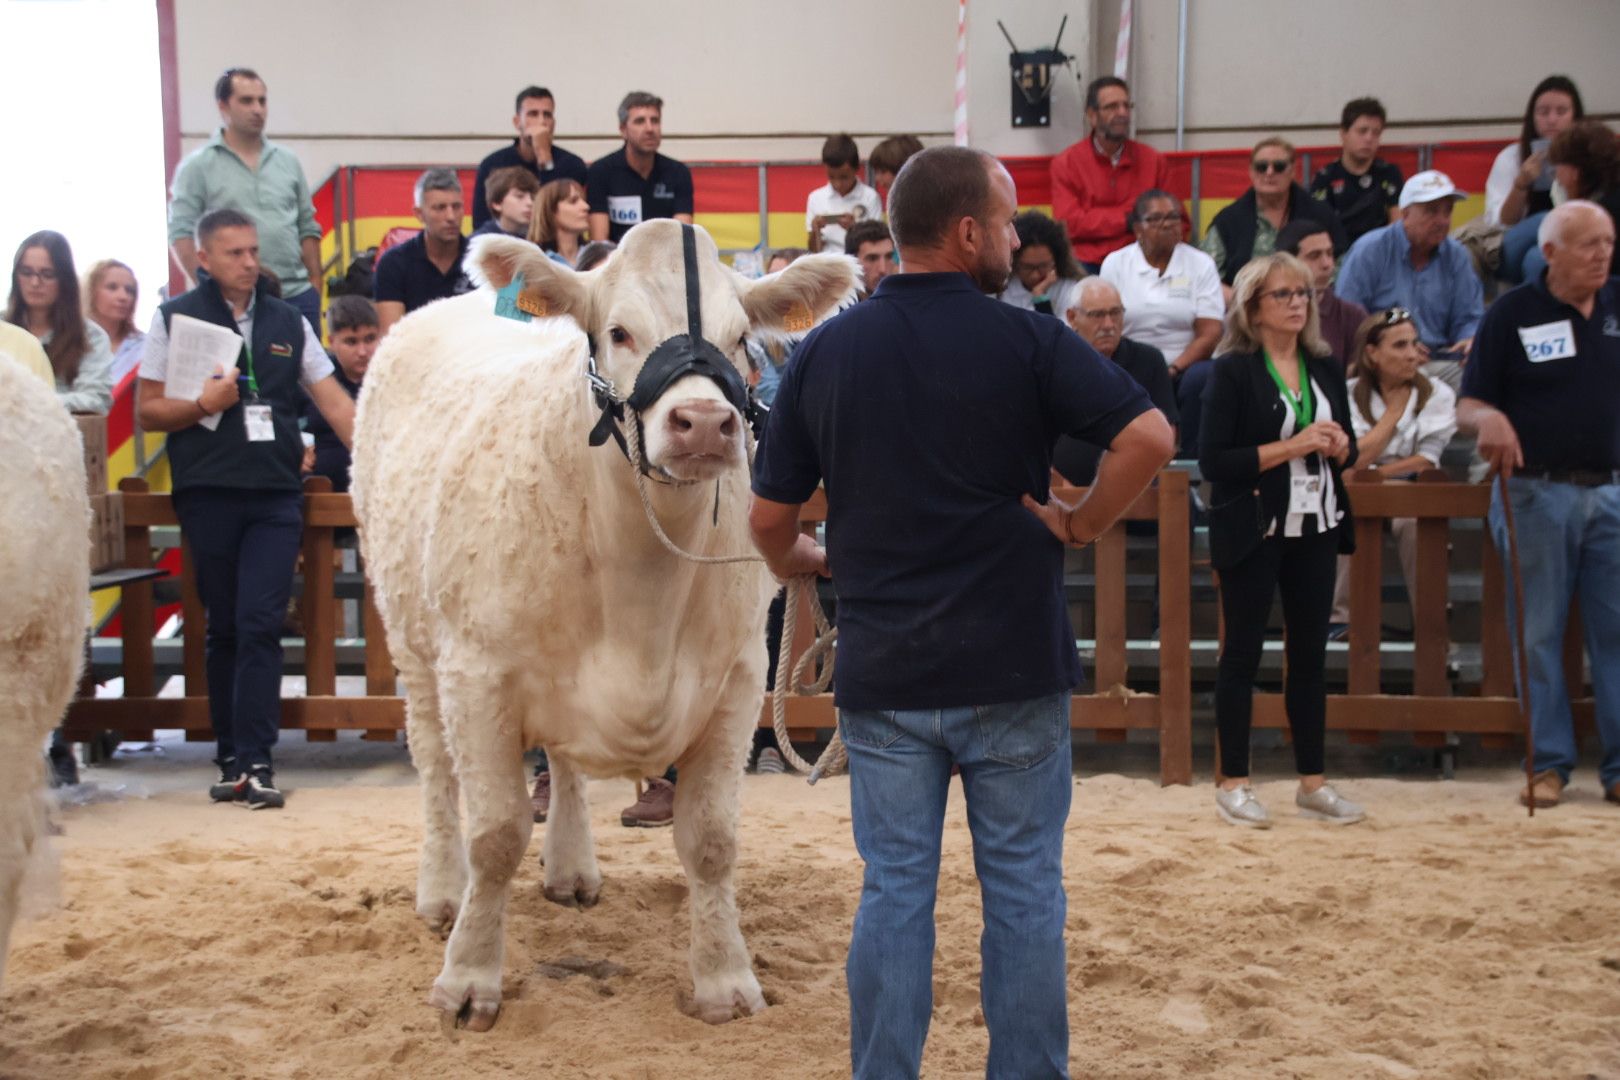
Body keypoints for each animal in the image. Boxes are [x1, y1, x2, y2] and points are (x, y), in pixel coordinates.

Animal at [354, 220, 861, 1029]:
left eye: (741, 338)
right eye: (620, 331)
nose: (704, 422)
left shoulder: (736, 681)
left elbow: (711, 840)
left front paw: (725, 979)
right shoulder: (478, 676)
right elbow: (495, 835)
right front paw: (469, 977)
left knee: (562, 763)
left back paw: (570, 869)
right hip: (410, 637)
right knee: (435, 768)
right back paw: (440, 892)